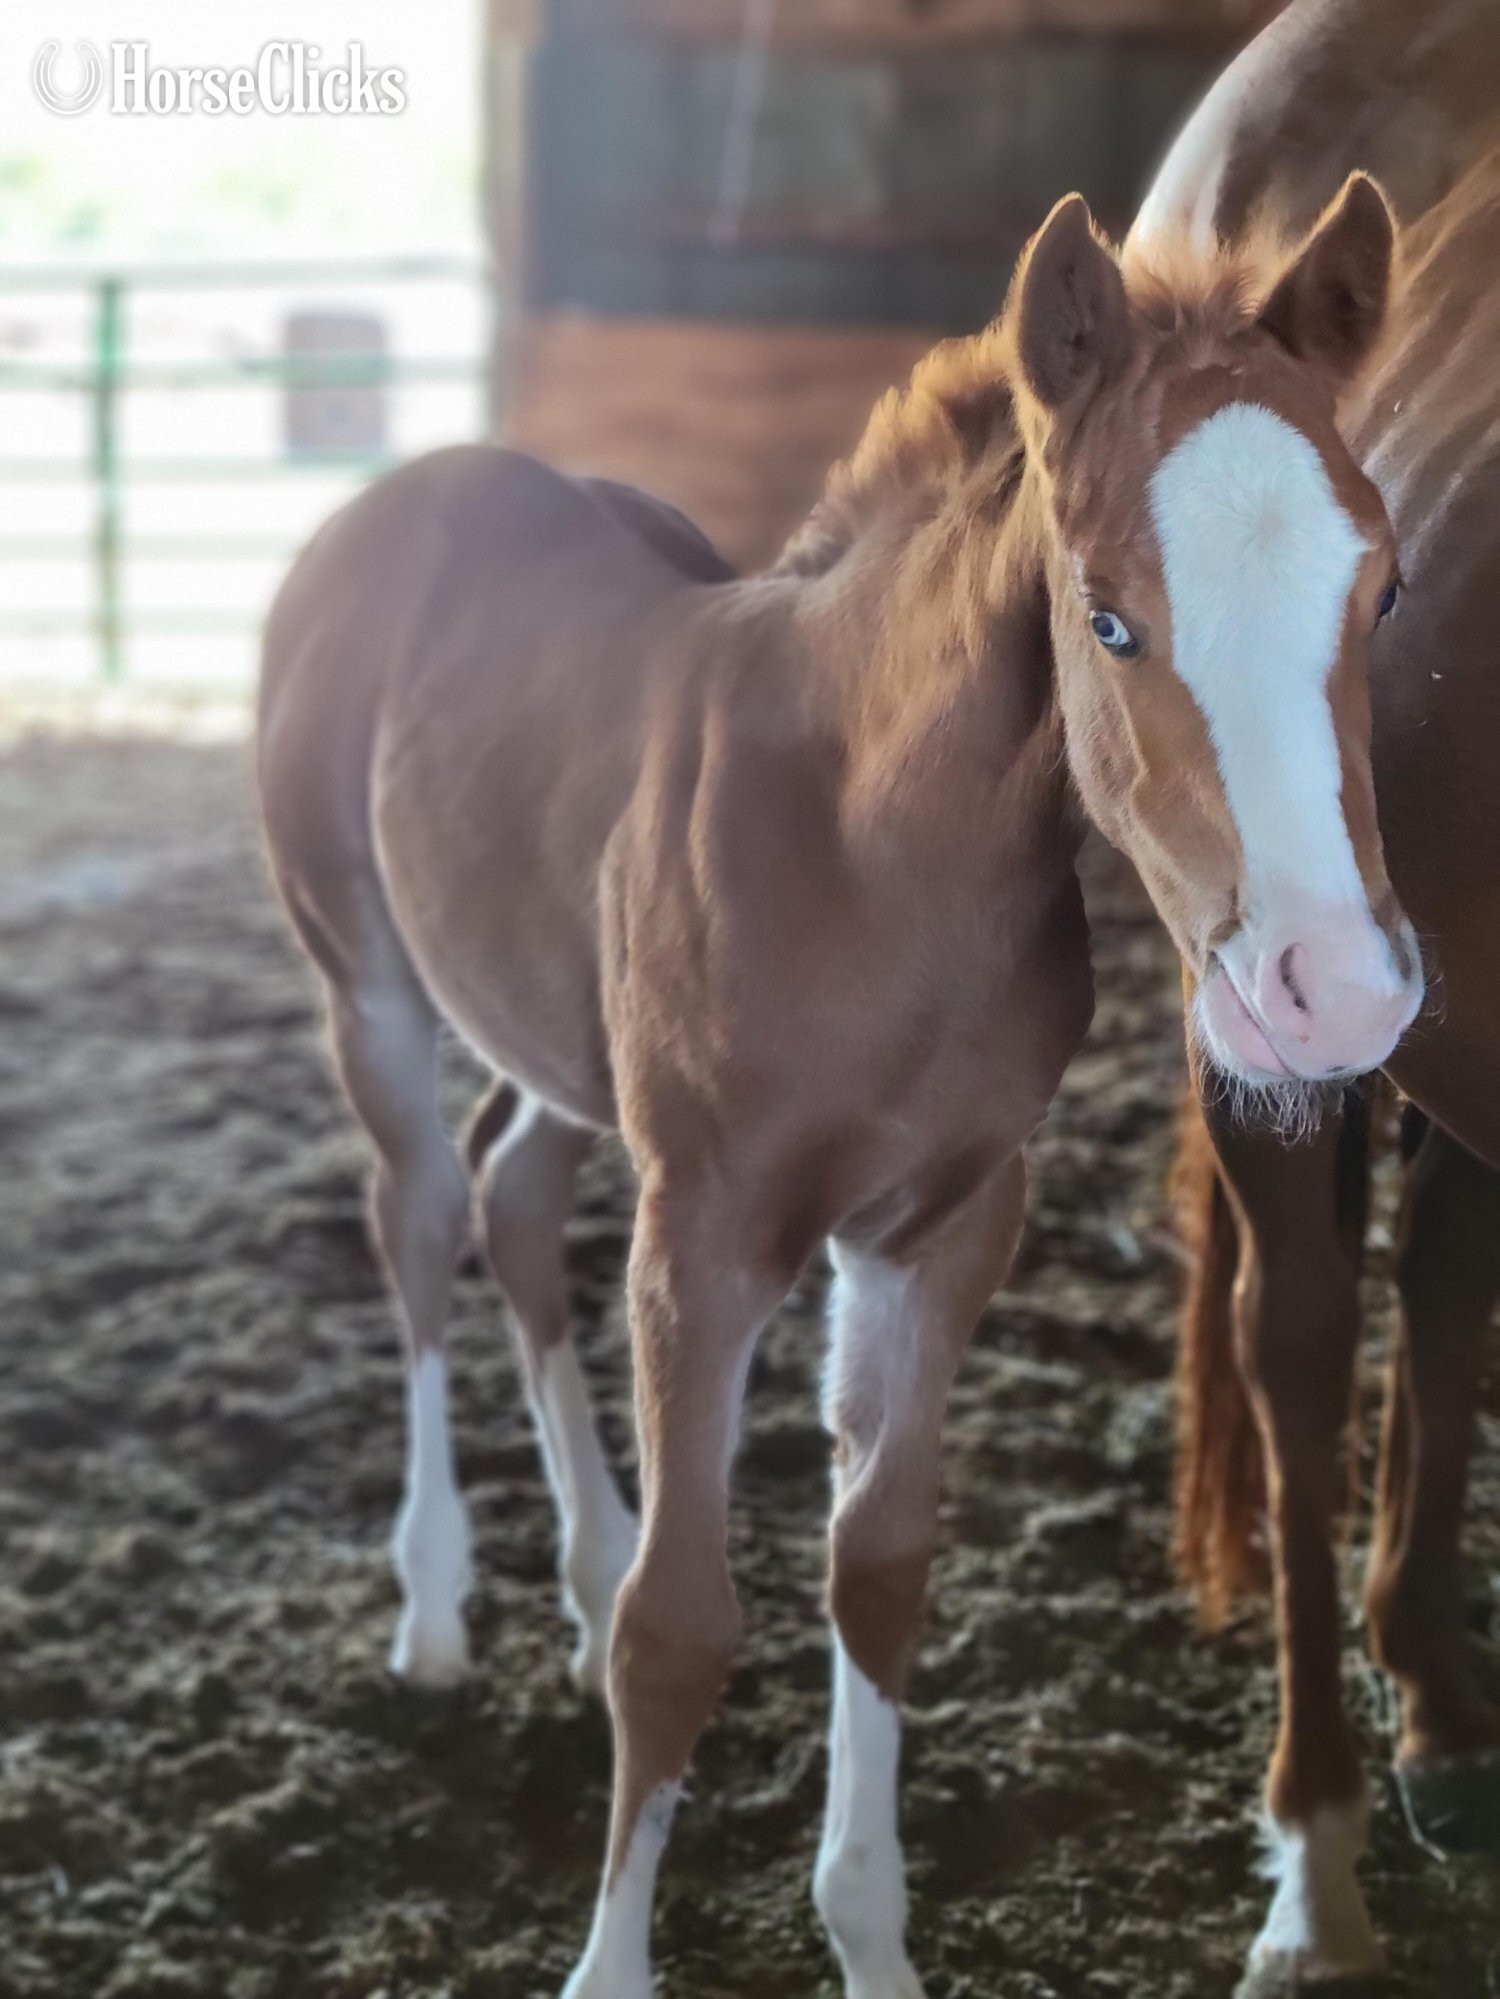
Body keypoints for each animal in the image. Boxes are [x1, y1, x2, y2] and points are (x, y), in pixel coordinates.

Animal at [258, 178, 1417, 1997]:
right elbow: (680, 1628)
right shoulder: (710, 1226)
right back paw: (437, 1606)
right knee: (425, 1214)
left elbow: (877, 1569)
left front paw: (872, 1935)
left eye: (1382, 592)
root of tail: (408, 483)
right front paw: (608, 1962)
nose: (1337, 987)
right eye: (1107, 611)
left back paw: (575, 1562)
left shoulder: (941, 1224)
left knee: (513, 1190)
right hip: (365, 976)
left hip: (558, 1033)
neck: (873, 850)